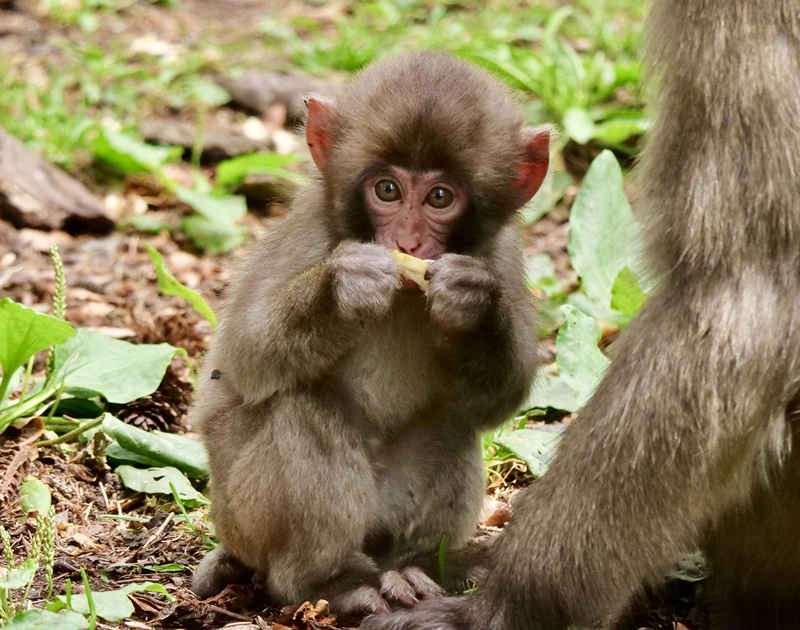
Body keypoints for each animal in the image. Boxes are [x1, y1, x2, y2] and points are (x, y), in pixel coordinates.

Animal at [192, 50, 552, 624]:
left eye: (440, 197)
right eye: (387, 190)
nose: (406, 241)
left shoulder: (499, 254)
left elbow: (499, 397)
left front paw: (472, 304)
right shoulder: (311, 232)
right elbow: (243, 357)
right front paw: (345, 287)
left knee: (450, 423)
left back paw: (419, 567)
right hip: (242, 517)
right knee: (306, 408)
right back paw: (330, 581)